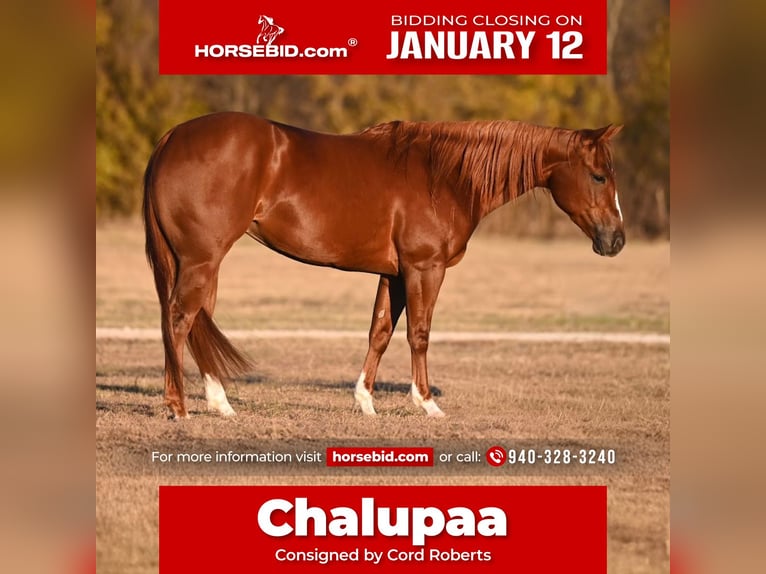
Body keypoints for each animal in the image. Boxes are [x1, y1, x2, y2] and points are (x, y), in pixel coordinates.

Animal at [143, 113, 624, 419]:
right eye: (599, 176)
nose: (616, 240)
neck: (444, 176)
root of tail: (171, 138)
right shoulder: (424, 268)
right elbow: (419, 334)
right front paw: (427, 403)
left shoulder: (392, 274)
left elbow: (379, 333)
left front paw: (365, 402)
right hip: (202, 259)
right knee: (180, 319)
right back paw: (178, 406)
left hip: (202, 262)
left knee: (196, 321)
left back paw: (220, 404)